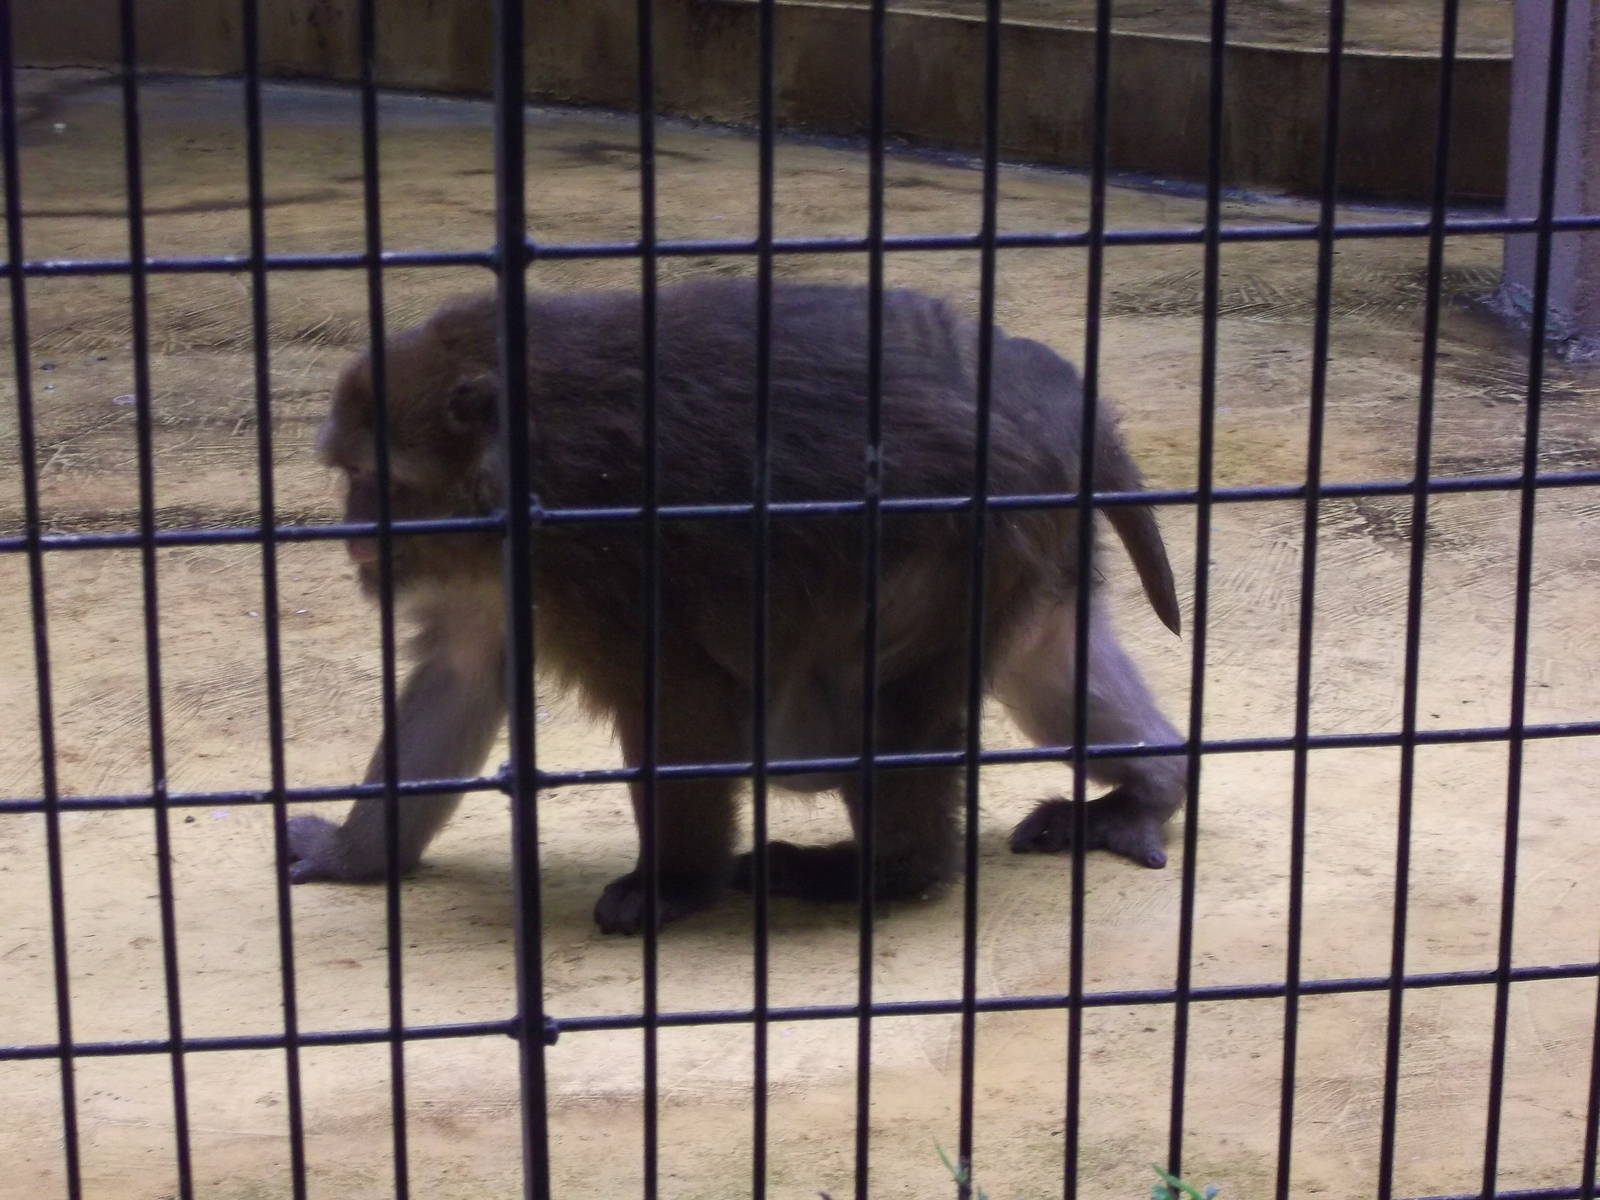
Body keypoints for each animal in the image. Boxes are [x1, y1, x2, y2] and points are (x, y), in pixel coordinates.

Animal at [287, 277, 1186, 935]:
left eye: (378, 481)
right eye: (347, 475)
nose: (355, 528)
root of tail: (1057, 398)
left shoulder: (590, 550)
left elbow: (679, 698)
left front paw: (673, 884)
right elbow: (462, 674)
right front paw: (358, 855)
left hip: (968, 541)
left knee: (870, 705)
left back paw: (887, 871)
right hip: (1037, 539)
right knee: (1044, 656)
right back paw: (1154, 788)